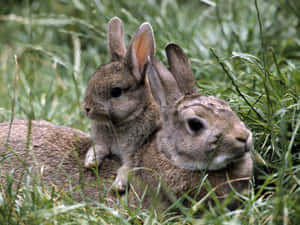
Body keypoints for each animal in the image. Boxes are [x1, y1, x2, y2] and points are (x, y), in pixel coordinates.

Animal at [82, 17, 159, 192]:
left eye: (116, 92)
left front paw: (118, 185)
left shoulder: (135, 150)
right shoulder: (102, 141)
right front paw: (90, 161)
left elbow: (128, 167)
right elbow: (99, 148)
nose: (87, 108)